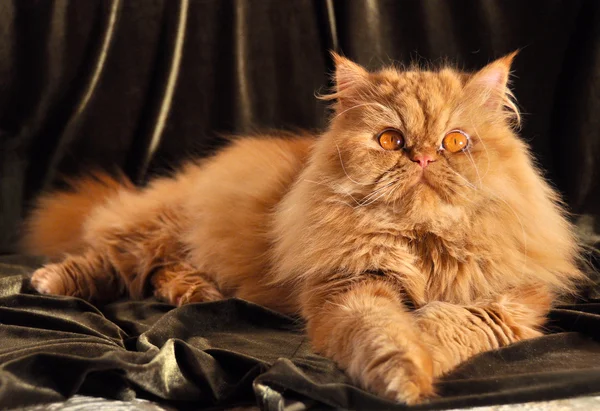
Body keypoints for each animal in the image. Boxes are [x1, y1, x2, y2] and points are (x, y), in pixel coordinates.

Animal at [22, 52, 580, 406]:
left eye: (455, 142)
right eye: (390, 140)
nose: (422, 157)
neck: (421, 244)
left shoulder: (510, 304)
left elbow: (451, 325)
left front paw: (423, 348)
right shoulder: (348, 287)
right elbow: (383, 333)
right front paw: (404, 373)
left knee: (158, 268)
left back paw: (196, 293)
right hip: (163, 224)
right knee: (112, 254)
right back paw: (48, 282)